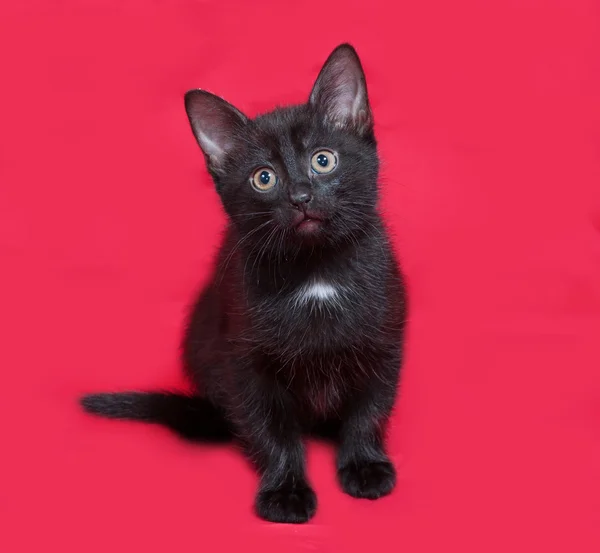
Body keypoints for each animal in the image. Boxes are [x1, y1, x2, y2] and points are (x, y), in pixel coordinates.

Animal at [81, 43, 408, 520]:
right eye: (264, 178)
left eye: (323, 160)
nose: (301, 196)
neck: (315, 272)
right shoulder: (243, 358)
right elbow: (270, 429)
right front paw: (285, 490)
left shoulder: (385, 339)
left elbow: (370, 409)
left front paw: (364, 465)